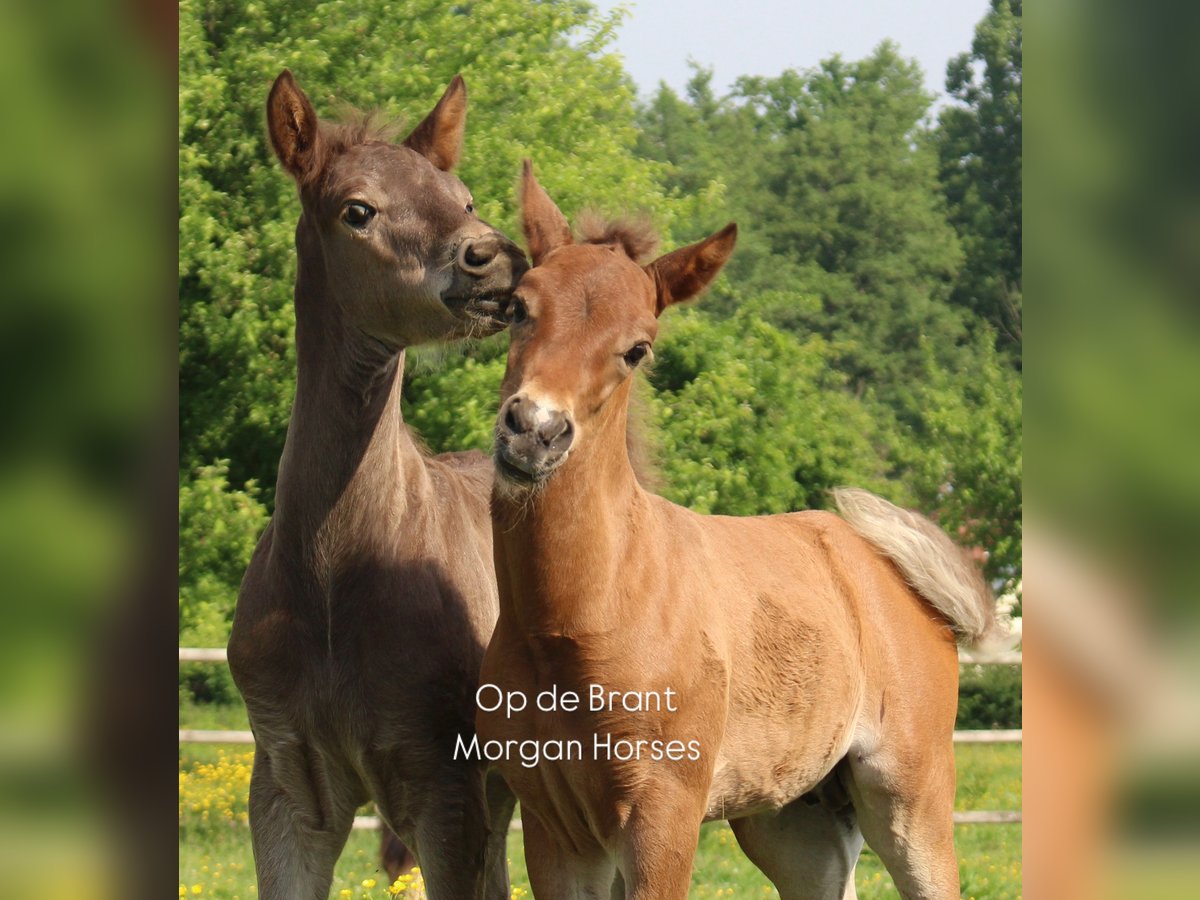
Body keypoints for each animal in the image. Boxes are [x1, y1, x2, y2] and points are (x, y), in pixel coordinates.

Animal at [227, 71, 528, 900]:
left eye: (462, 197)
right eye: (357, 210)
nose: (497, 260)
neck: (336, 573)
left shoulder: (446, 794)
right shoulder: (288, 791)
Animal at [475, 162, 1004, 899]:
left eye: (637, 349)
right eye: (520, 307)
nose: (535, 432)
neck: (580, 617)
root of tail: (889, 570)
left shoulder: (662, 814)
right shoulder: (556, 829)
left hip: (910, 801)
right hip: (795, 824)